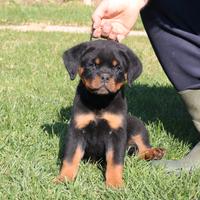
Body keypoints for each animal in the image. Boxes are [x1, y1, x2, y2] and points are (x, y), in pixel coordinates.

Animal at [55, 39, 165, 188]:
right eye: (92, 65)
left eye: (118, 68)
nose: (105, 76)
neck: (100, 101)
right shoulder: (77, 130)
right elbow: (70, 158)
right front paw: (64, 179)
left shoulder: (116, 133)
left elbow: (115, 161)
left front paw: (115, 184)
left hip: (138, 125)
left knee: (142, 146)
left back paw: (154, 153)